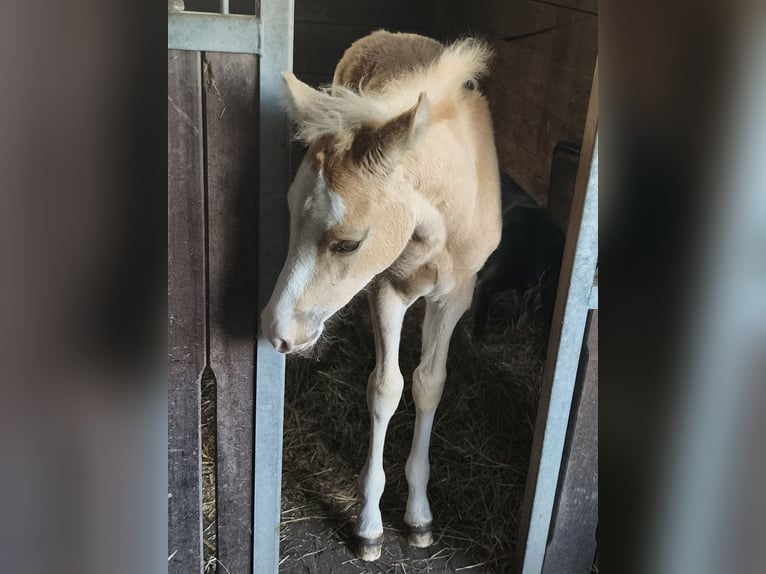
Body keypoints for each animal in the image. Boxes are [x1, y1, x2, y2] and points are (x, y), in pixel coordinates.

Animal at [261, 30, 502, 561]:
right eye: (287, 214)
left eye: (349, 243)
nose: (276, 331)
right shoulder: (386, 289)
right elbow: (386, 387)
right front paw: (369, 525)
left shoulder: (455, 297)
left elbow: (429, 382)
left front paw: (419, 517)